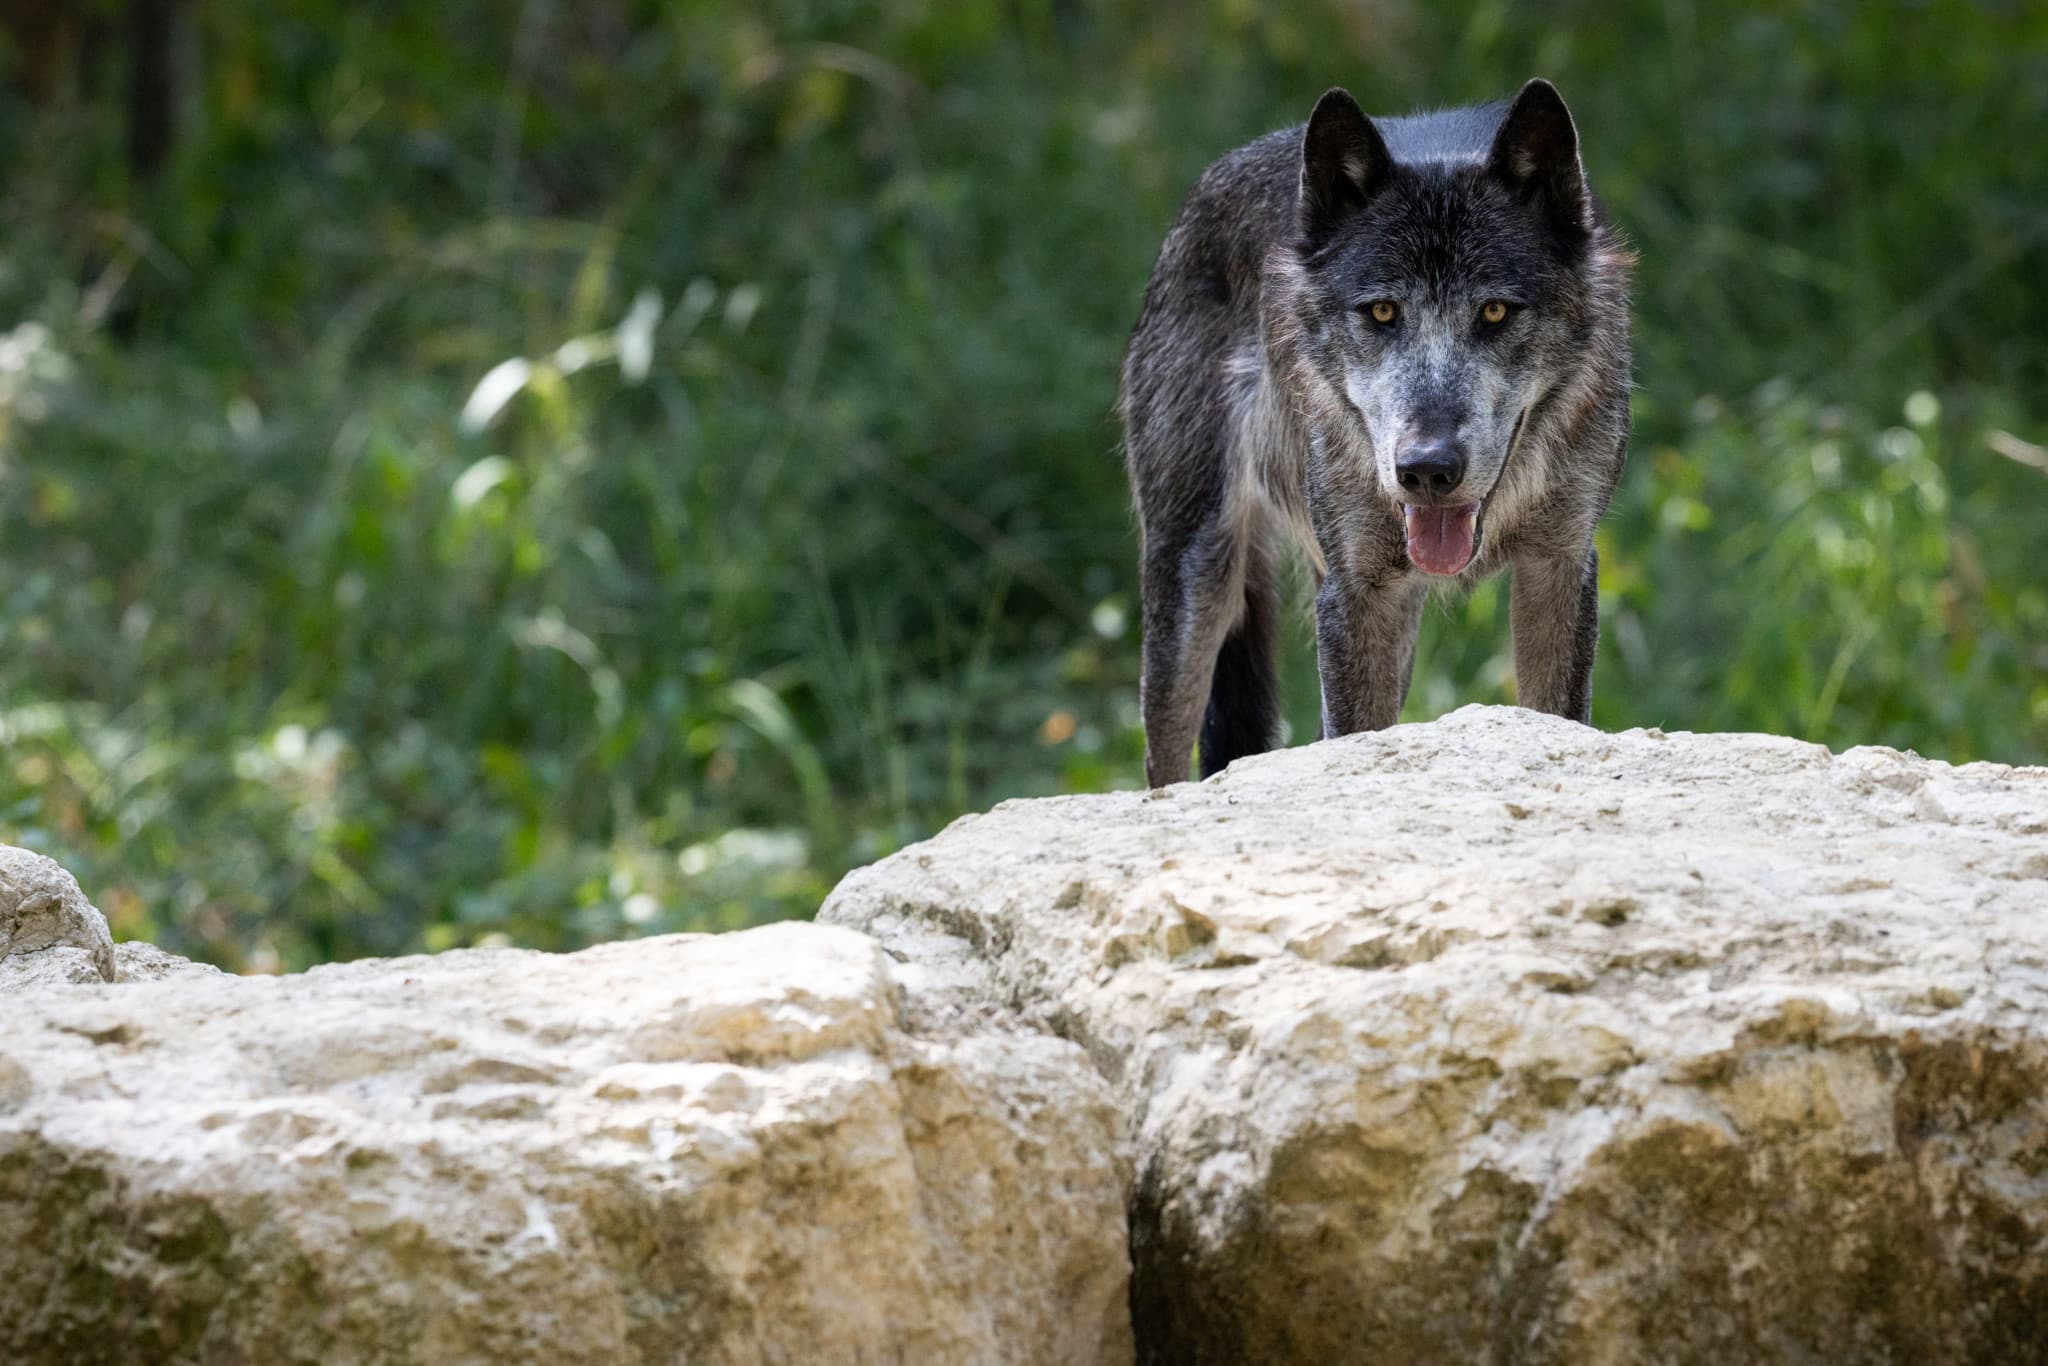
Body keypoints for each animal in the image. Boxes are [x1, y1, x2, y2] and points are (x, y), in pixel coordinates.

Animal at [1120, 79, 1632, 788]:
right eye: (1383, 312)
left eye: (1494, 311)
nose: (1427, 469)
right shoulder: (1355, 593)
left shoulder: (1558, 567)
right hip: (1195, 582)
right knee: (1164, 764)